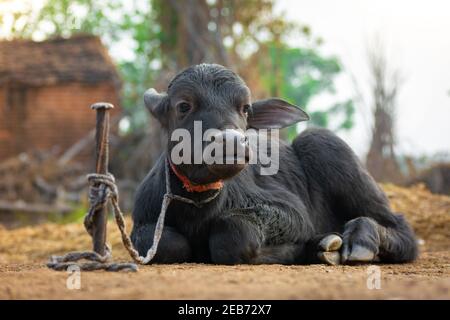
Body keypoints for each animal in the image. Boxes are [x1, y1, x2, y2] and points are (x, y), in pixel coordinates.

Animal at [130, 63, 418, 264]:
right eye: (184, 105)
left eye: (245, 108)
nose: (231, 143)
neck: (198, 206)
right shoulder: (143, 222)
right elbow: (167, 243)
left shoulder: (293, 211)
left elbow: (233, 234)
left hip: (323, 142)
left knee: (401, 229)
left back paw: (360, 241)